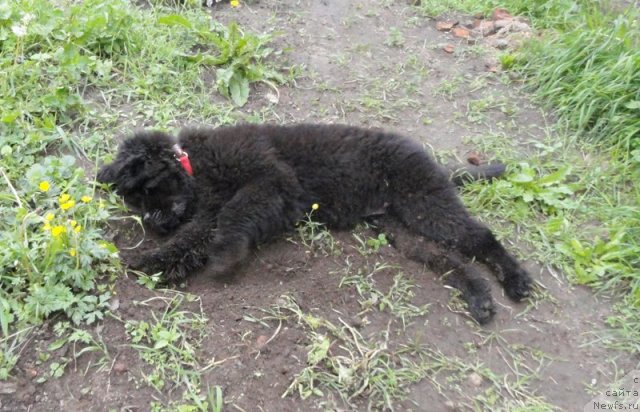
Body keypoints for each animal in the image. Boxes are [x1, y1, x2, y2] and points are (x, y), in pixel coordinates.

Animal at [97, 124, 532, 324]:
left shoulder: (274, 181)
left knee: (480, 237)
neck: (196, 167)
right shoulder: (208, 211)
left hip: (424, 203)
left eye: (147, 189)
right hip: (401, 229)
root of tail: (437, 165)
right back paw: (479, 298)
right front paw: (153, 264)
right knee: (451, 260)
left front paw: (224, 257)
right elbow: (192, 238)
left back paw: (517, 281)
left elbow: (232, 218)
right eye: (134, 201)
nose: (153, 224)